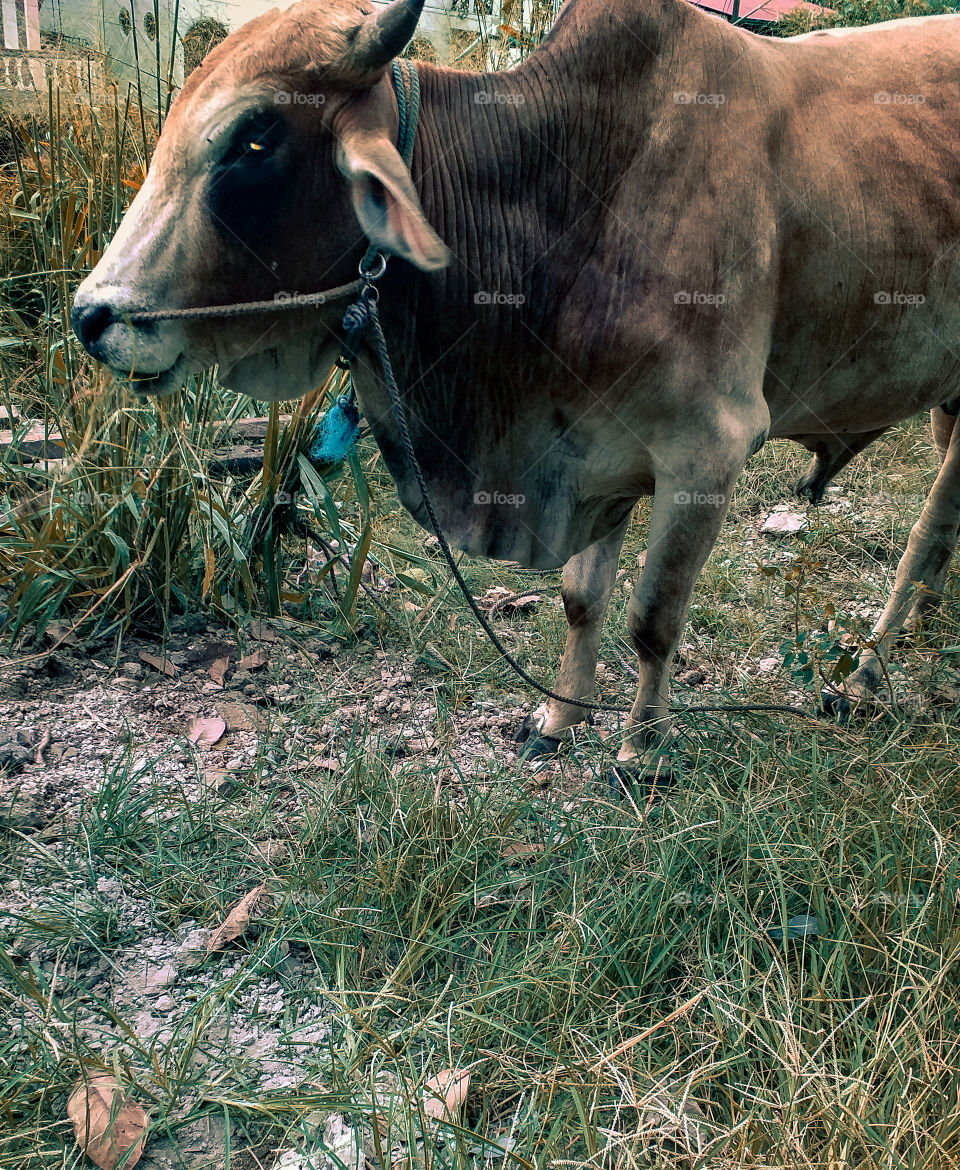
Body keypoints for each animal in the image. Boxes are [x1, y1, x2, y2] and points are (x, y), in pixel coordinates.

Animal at [74, 0, 960, 781]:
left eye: (255, 138)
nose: (92, 317)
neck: (572, 193)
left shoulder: (706, 449)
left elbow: (653, 618)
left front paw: (641, 752)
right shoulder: (595, 448)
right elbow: (581, 599)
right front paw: (558, 721)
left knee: (930, 529)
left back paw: (868, 674)